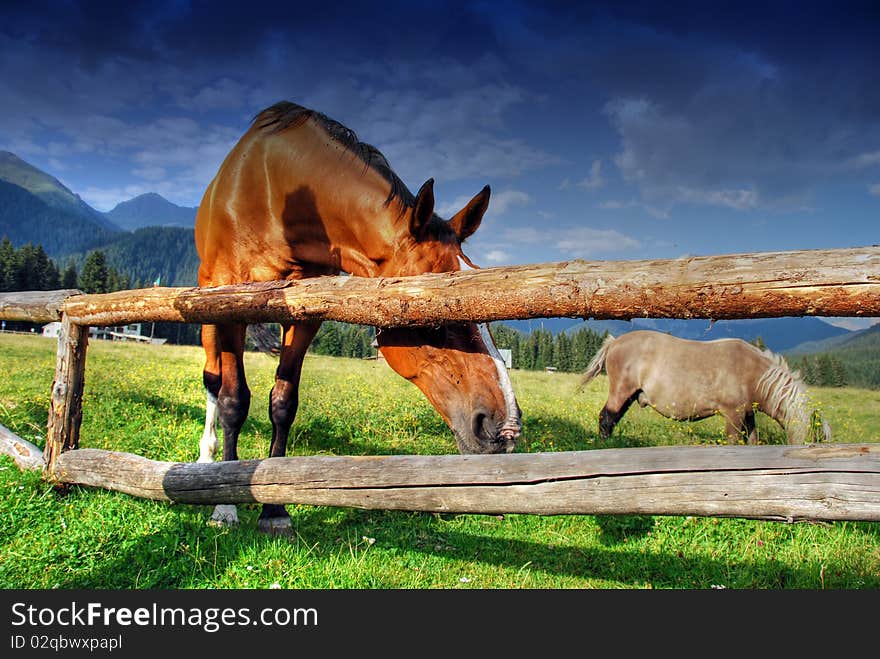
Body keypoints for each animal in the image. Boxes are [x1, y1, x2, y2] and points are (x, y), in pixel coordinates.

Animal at [194, 104, 524, 536]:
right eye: (436, 312)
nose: (505, 429)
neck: (275, 195)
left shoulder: (306, 315)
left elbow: (283, 403)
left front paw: (274, 509)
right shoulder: (232, 307)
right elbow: (234, 400)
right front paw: (224, 506)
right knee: (213, 380)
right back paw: (205, 461)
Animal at [580, 332, 828, 446]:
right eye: (818, 439)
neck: (752, 372)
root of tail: (614, 342)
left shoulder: (748, 414)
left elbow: (752, 440)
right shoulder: (733, 414)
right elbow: (733, 441)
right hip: (621, 391)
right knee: (606, 417)